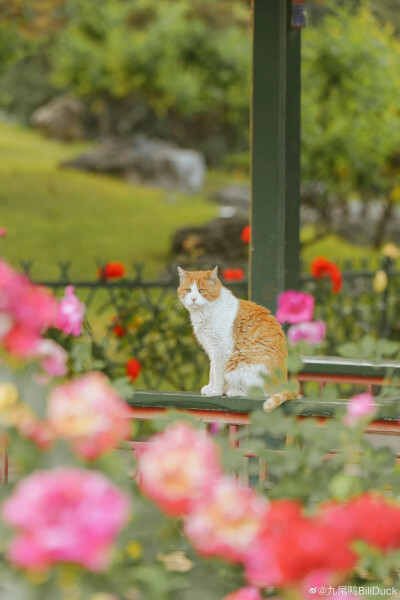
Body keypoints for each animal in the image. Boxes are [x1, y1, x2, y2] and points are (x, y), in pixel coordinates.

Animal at [177, 268, 298, 412]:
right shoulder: (211, 349)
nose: (193, 298)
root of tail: (283, 384)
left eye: (201, 291)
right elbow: (212, 372)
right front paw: (211, 387)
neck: (206, 311)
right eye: (188, 290)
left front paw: (216, 391)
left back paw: (234, 391)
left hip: (238, 365)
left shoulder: (220, 350)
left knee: (261, 393)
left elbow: (217, 374)